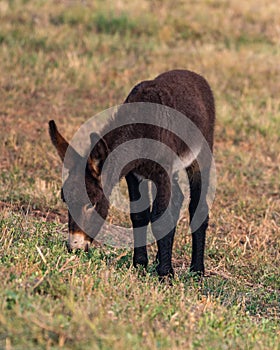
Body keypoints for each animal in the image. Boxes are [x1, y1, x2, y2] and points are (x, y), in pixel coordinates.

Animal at [49, 69, 215, 278]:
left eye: (91, 203)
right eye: (65, 199)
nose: (74, 247)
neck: (139, 130)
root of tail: (191, 74)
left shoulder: (163, 173)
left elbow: (160, 218)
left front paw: (165, 275)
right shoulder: (134, 175)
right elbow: (140, 216)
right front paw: (141, 264)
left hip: (200, 158)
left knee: (197, 208)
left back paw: (197, 271)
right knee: (178, 200)